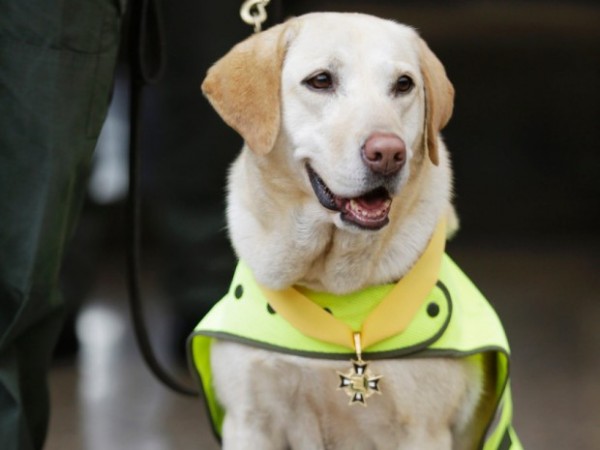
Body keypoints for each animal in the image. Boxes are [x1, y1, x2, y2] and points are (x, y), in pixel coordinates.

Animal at [191, 10, 516, 450]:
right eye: (320, 80)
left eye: (403, 84)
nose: (389, 153)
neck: (334, 291)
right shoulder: (249, 421)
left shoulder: (421, 430)